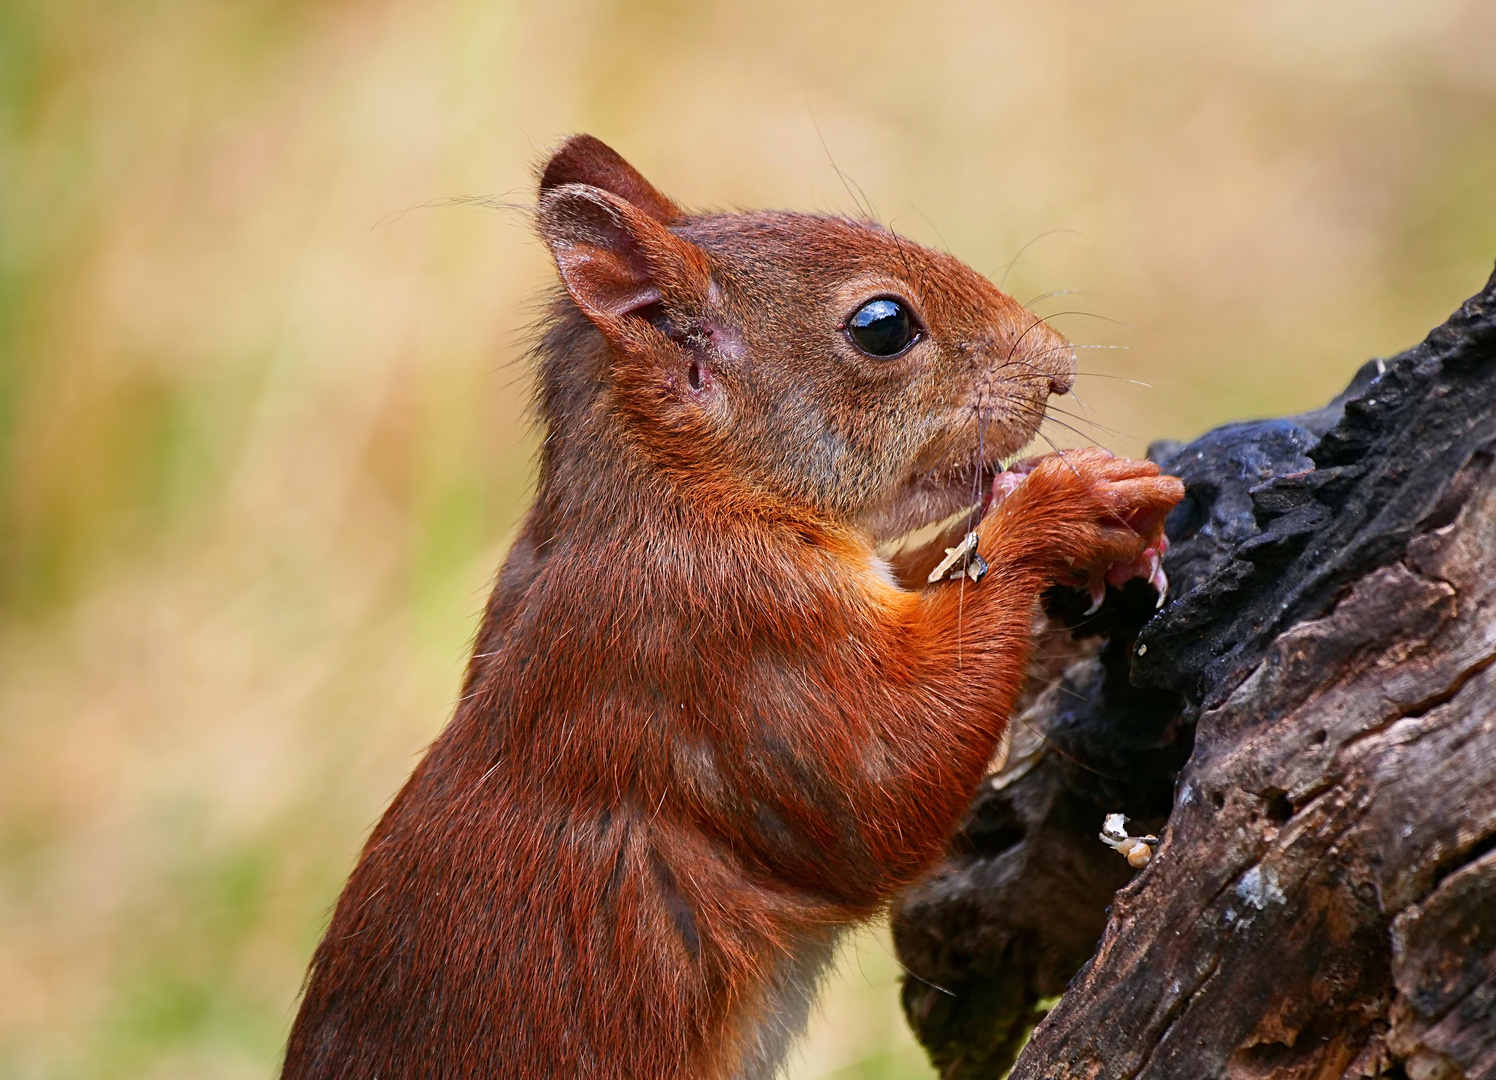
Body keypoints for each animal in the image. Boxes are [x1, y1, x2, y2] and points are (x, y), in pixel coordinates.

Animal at [281, 134, 1184, 1077]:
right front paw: (1063, 507)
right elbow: (887, 785)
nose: (1060, 368)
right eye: (883, 326)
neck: (688, 492)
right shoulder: (723, 633)